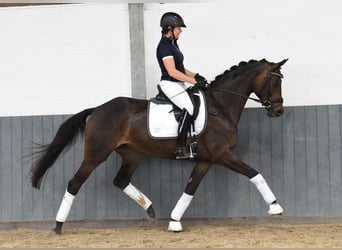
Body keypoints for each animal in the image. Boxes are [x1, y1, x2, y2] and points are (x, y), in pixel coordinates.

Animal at [31, 58, 288, 234]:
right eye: (274, 81)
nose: (278, 111)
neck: (220, 108)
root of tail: (97, 110)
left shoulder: (206, 160)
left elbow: (190, 189)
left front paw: (174, 221)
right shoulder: (222, 155)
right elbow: (255, 174)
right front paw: (275, 207)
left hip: (132, 154)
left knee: (121, 180)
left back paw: (150, 210)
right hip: (96, 155)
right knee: (74, 183)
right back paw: (58, 226)